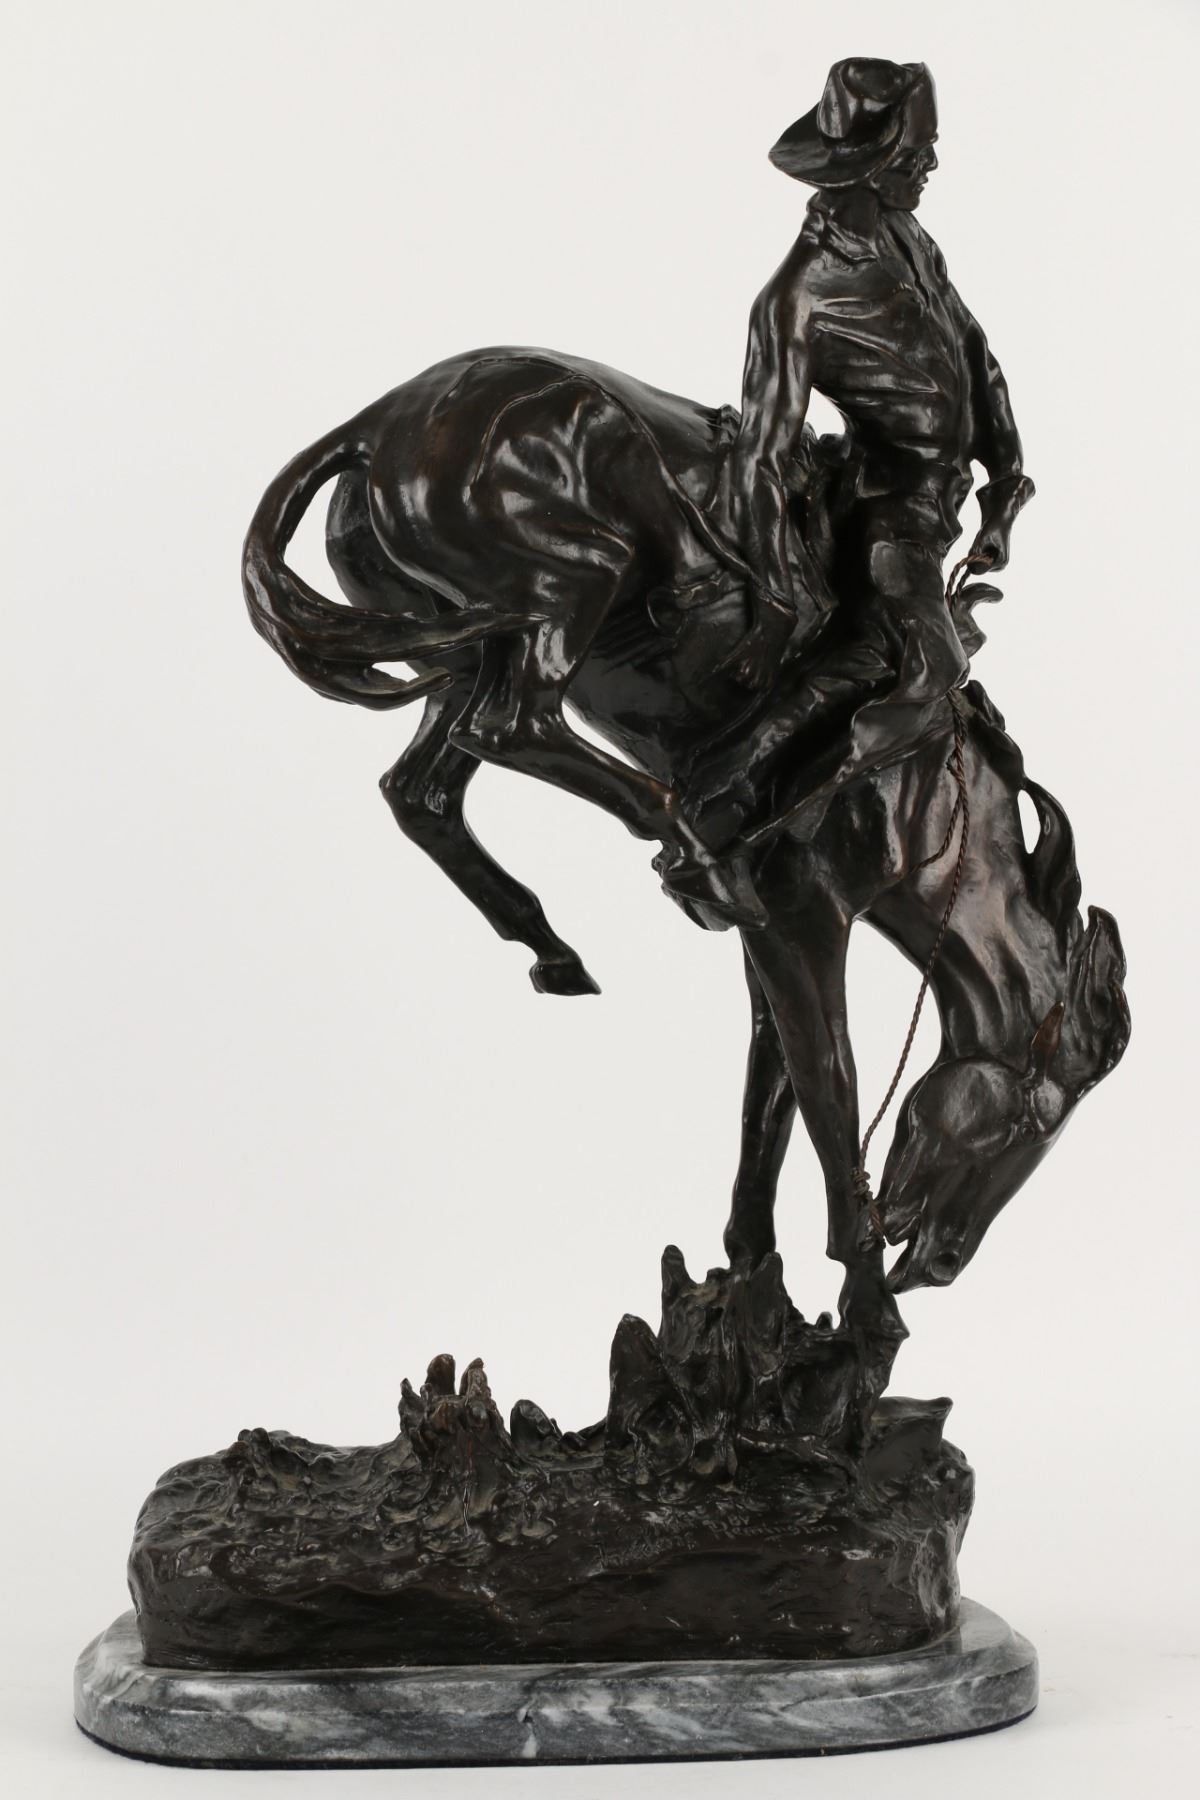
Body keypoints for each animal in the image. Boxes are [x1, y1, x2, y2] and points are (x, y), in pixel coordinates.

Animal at [243, 347, 1129, 1329]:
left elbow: (768, 1099)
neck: (930, 794)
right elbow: (830, 1090)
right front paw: (864, 1297)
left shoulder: (774, 941)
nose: (939, 1263)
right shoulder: (807, 921)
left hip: (461, 644)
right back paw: (685, 838)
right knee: (510, 727)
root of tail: (377, 424)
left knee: (425, 787)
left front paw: (751, 1272)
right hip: (571, 581)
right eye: (1035, 1121)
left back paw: (566, 940)